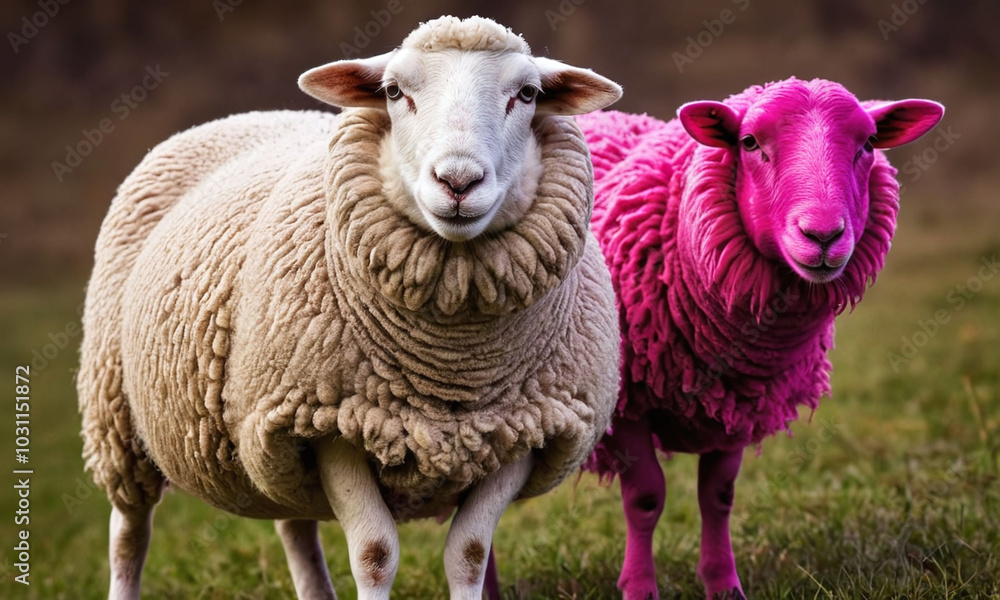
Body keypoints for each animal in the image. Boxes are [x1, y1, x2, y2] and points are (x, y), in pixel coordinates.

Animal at [76, 16, 622, 600]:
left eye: (527, 94)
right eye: (393, 92)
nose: (457, 182)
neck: (453, 364)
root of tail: (251, 114)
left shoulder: (529, 432)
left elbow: (470, 554)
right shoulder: (331, 424)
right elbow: (375, 554)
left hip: (271, 443)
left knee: (293, 523)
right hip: (117, 412)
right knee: (129, 533)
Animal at [575, 78, 944, 599]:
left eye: (869, 143)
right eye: (749, 143)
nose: (823, 235)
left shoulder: (738, 403)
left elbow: (718, 496)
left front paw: (724, 586)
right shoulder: (625, 403)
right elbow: (646, 497)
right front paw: (640, 589)